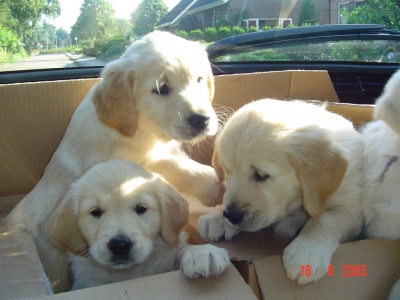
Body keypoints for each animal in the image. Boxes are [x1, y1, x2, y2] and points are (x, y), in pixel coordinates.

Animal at [48, 159, 230, 290]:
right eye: (95, 212)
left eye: (141, 208)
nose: (120, 245)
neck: (127, 274)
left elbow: (180, 251)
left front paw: (202, 252)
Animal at [198, 99, 366, 284]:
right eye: (227, 171)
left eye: (260, 175)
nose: (231, 215)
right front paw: (217, 218)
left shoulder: (353, 211)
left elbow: (325, 219)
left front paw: (306, 252)